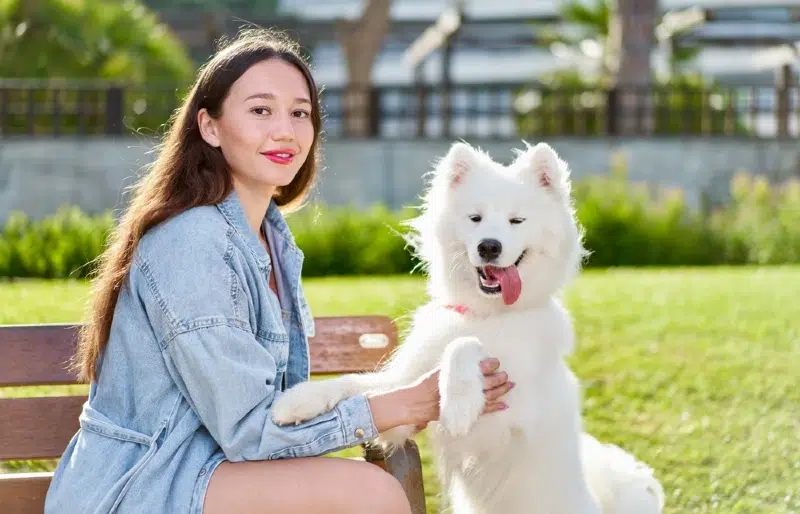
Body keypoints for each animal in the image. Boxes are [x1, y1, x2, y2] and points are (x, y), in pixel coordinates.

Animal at [272, 140, 664, 512]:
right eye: (475, 218)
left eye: (517, 221)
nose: (489, 246)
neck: (484, 314)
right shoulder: (403, 400)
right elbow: (358, 385)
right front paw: (298, 400)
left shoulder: (507, 418)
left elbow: (462, 346)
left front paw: (458, 403)